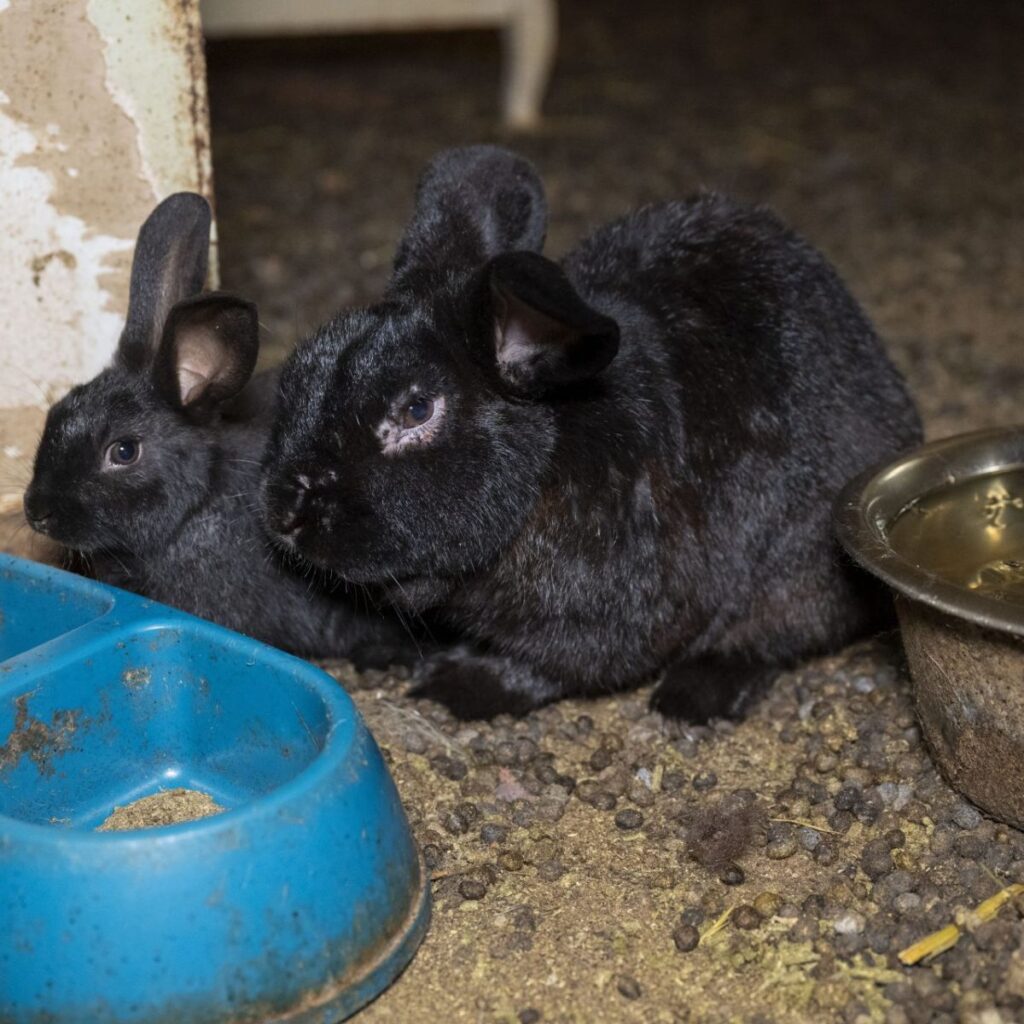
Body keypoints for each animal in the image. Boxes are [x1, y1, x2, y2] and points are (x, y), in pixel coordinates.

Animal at [260, 146, 925, 720]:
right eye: (298, 371)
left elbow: (557, 666)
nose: (286, 509)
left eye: (417, 408)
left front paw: (456, 686)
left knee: (769, 638)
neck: (544, 467)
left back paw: (694, 697)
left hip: (799, 570)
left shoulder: (615, 613)